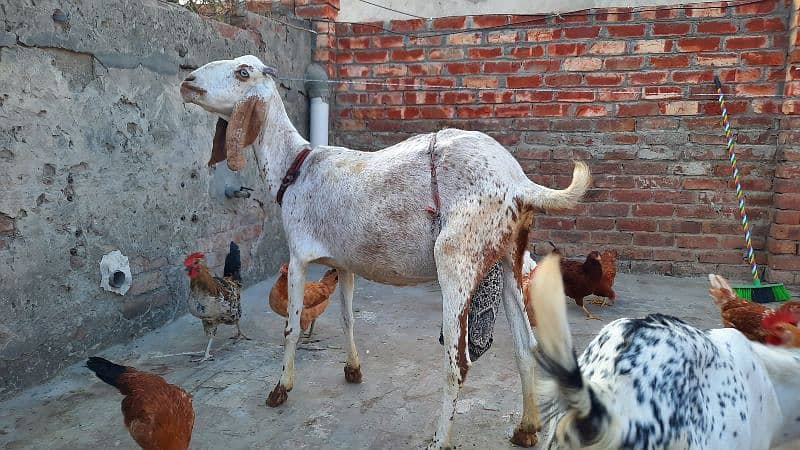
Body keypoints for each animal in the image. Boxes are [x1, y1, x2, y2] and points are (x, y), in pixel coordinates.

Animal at [183, 54, 592, 448]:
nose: (188, 82)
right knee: (526, 346)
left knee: (457, 362)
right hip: (507, 259)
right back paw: (527, 428)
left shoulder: (298, 256)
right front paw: (352, 369)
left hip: (457, 258)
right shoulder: (343, 262)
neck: (296, 166)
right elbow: (347, 318)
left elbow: (291, 328)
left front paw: (281, 388)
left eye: (243, 72)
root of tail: (518, 181)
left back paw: (440, 440)